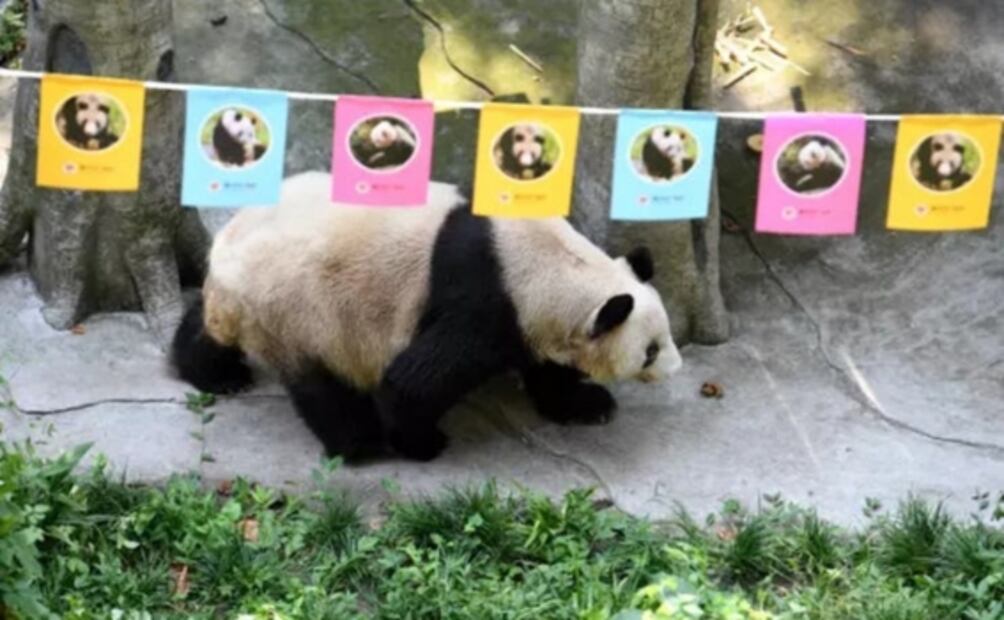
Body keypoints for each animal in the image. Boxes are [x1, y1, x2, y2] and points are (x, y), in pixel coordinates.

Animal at [171, 171, 682, 463]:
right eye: (650, 351)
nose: (676, 368)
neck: (554, 265)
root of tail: (229, 260)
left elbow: (548, 370)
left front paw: (588, 403)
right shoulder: (484, 303)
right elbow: (415, 380)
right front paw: (421, 442)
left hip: (246, 300)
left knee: (210, 327)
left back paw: (213, 371)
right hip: (300, 310)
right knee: (321, 384)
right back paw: (360, 443)